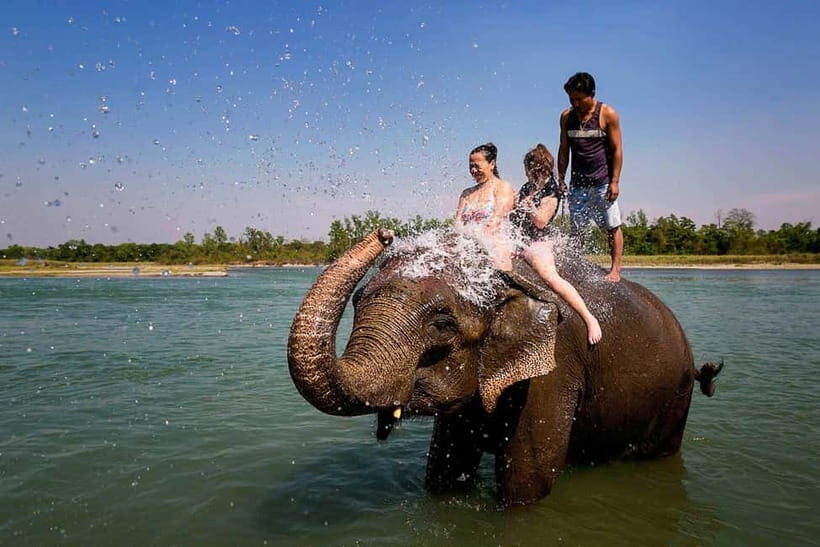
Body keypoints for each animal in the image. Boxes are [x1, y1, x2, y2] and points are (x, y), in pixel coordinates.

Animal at [288, 228, 721, 507]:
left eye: (442, 324)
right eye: (358, 301)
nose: (385, 233)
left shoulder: (552, 371)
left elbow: (528, 481)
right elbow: (444, 470)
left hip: (675, 399)